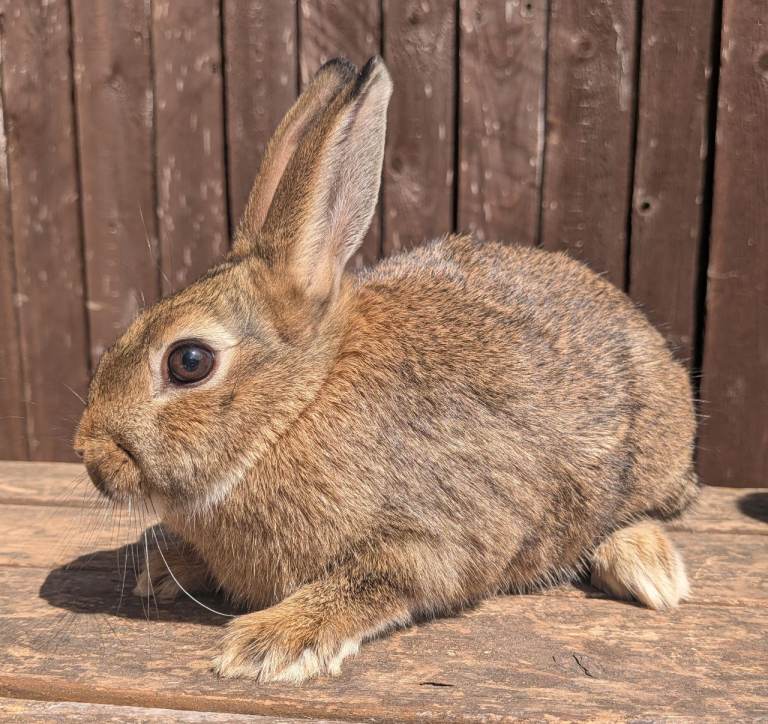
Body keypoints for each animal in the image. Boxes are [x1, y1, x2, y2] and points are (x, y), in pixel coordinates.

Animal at [74, 56, 698, 684]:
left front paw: (268, 644)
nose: (90, 456)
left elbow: (376, 582)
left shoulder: (437, 536)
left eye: (188, 362)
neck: (297, 408)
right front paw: (164, 570)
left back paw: (648, 570)